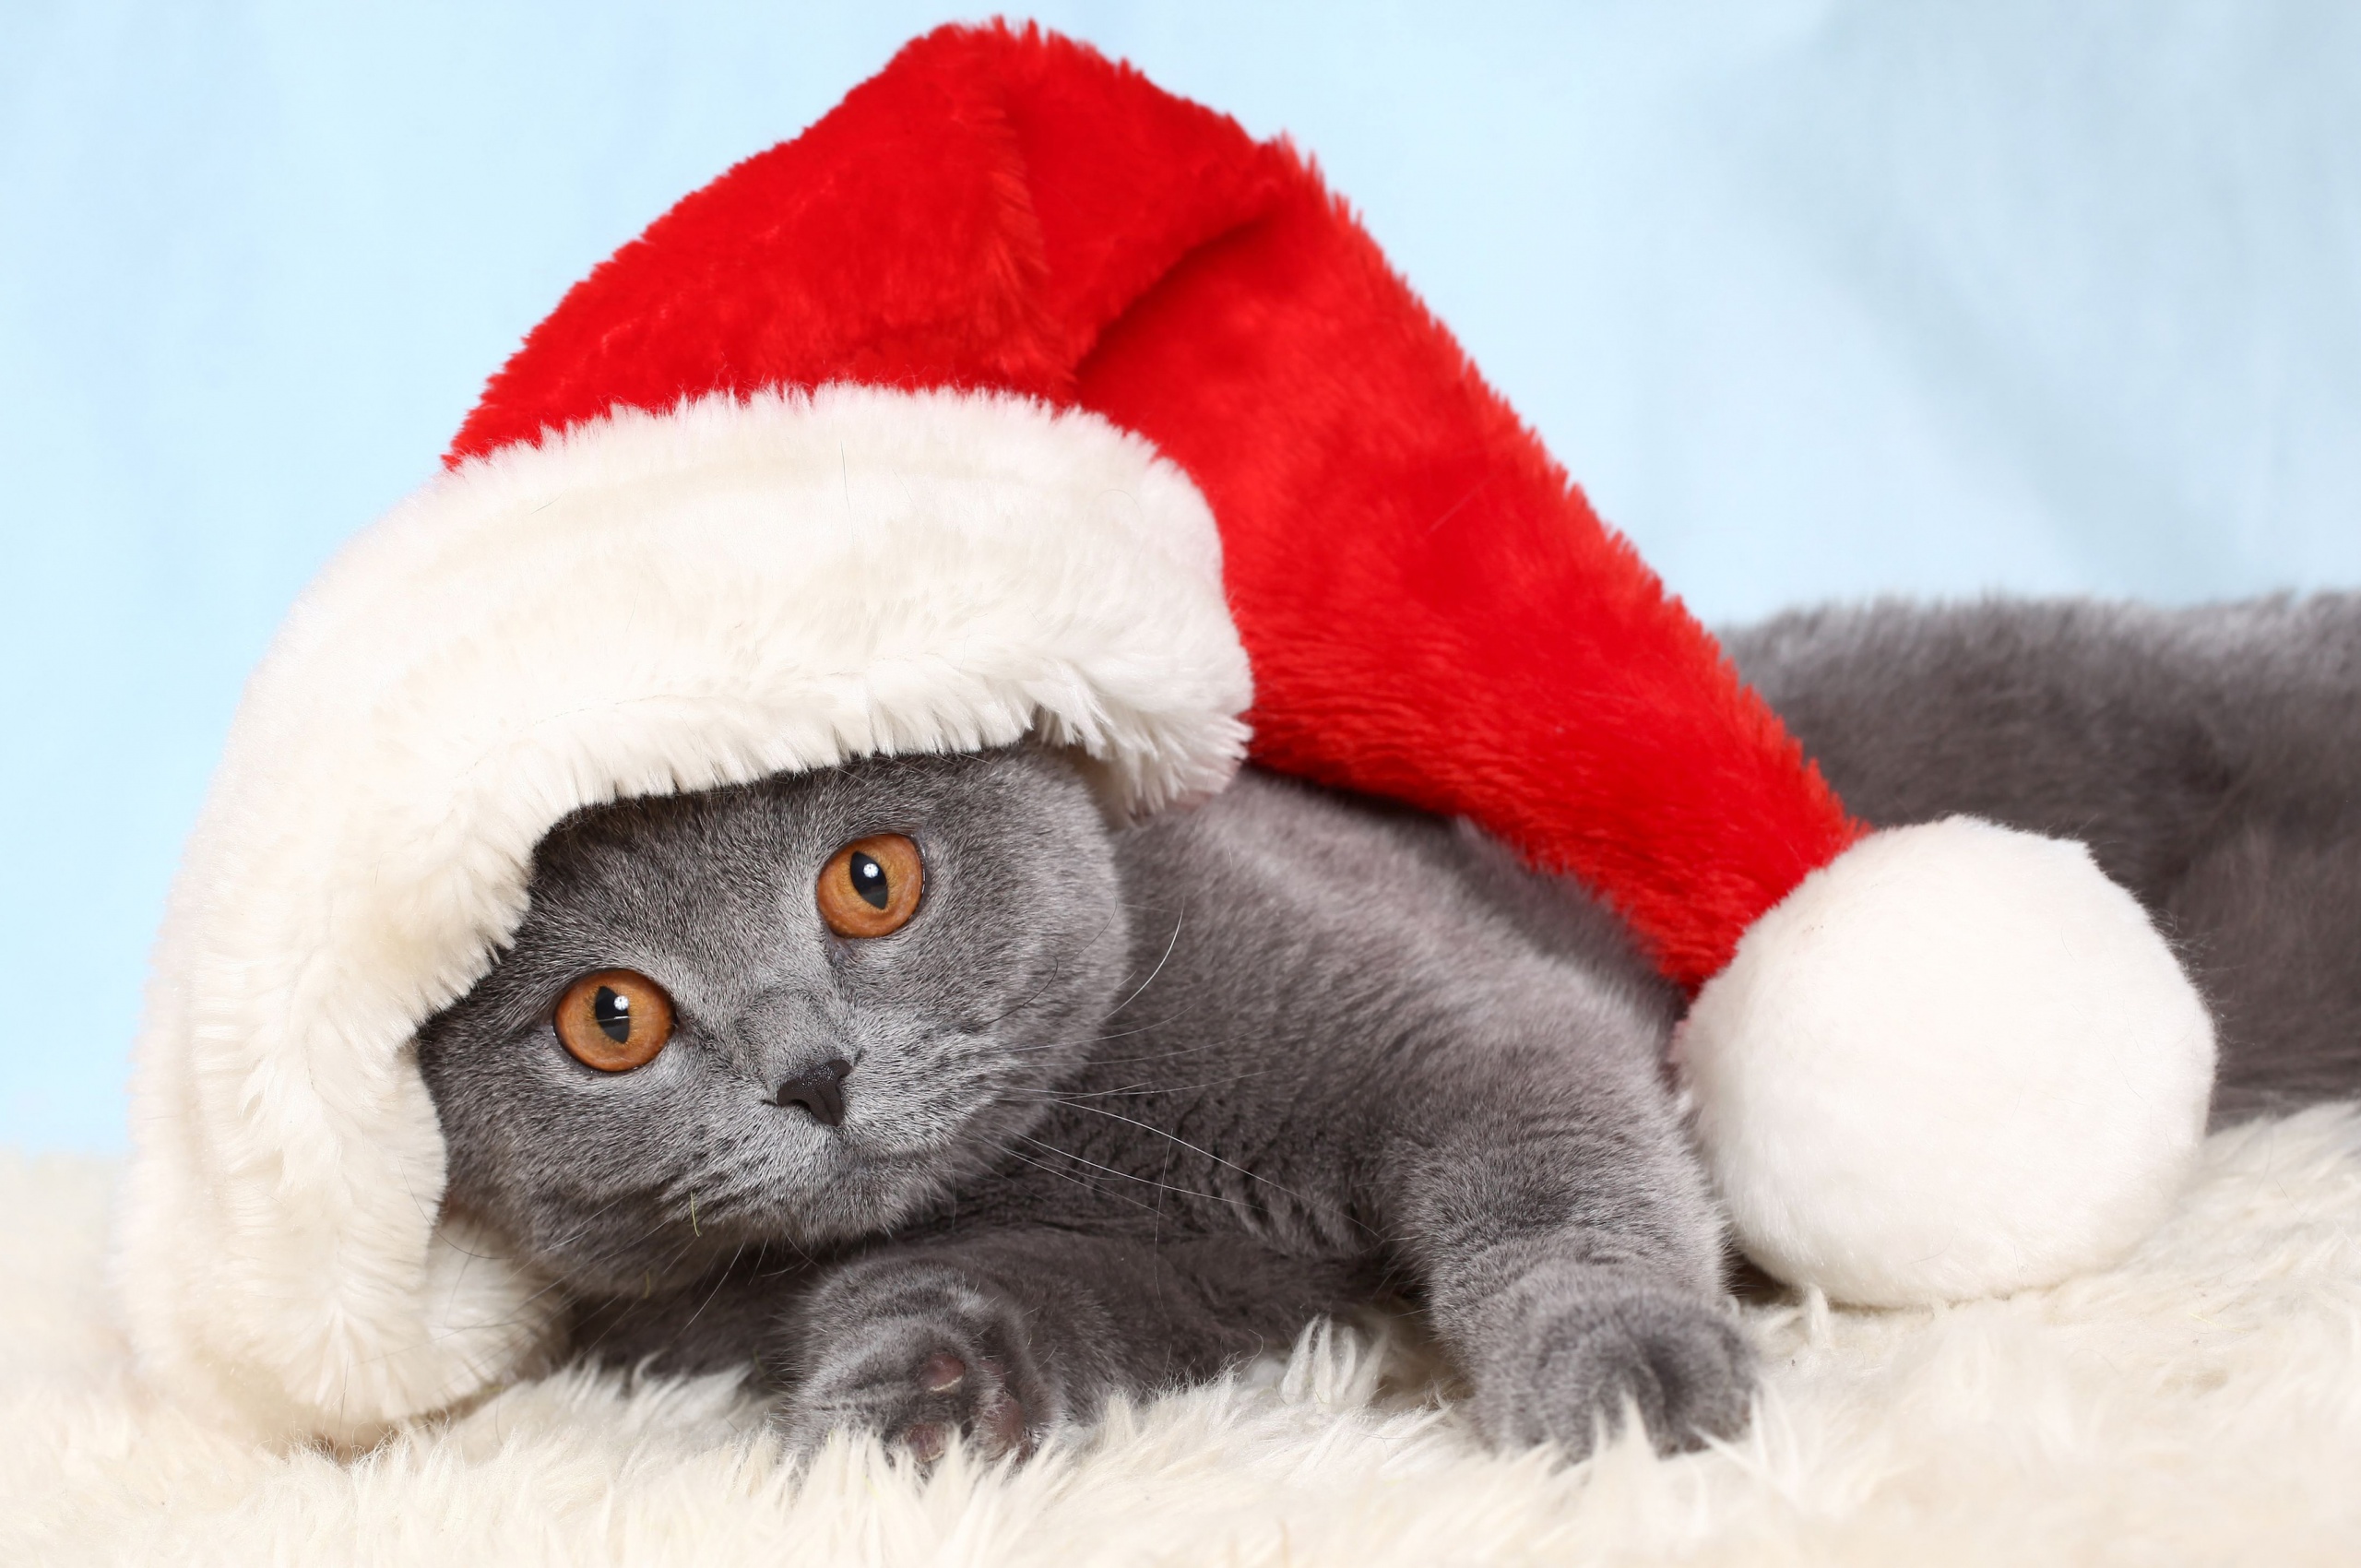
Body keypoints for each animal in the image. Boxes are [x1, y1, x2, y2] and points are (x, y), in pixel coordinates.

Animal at [420, 595, 2361, 1464]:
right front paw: (918, 1399)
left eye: (871, 881)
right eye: (611, 1019)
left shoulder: (1470, 1019)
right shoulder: (1194, 1282)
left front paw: (1625, 1378)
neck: (1081, 1142)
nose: (813, 1072)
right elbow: (978, 1296)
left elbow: (1554, 1179)